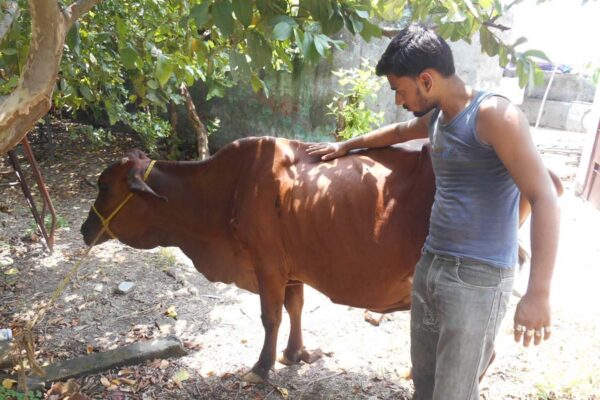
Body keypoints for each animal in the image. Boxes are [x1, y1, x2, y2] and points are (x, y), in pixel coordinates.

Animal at [81, 137, 564, 384]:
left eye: (104, 186)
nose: (86, 230)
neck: (225, 190)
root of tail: (543, 168)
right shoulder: (290, 267)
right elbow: (294, 309)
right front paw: (296, 354)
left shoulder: (267, 264)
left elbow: (270, 317)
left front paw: (261, 367)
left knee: (483, 346)